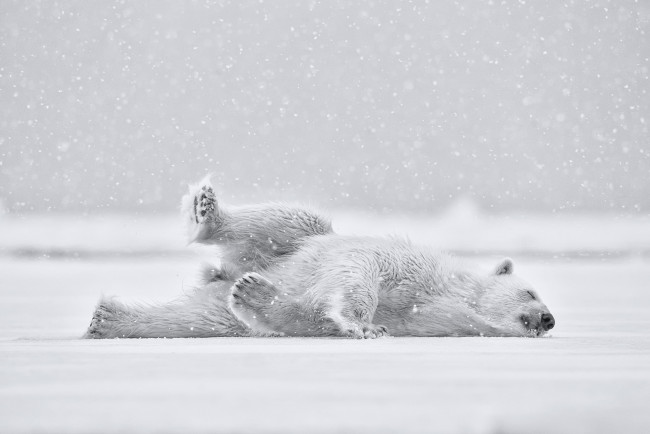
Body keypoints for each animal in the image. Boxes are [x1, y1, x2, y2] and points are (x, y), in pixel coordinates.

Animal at [84, 177, 555, 339]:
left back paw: (108, 318)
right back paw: (206, 212)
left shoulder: (436, 321)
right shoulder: (409, 266)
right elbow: (362, 271)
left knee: (199, 317)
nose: (548, 319)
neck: (447, 292)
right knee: (293, 220)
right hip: (294, 243)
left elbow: (311, 317)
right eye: (530, 292)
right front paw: (365, 324)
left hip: (228, 295)